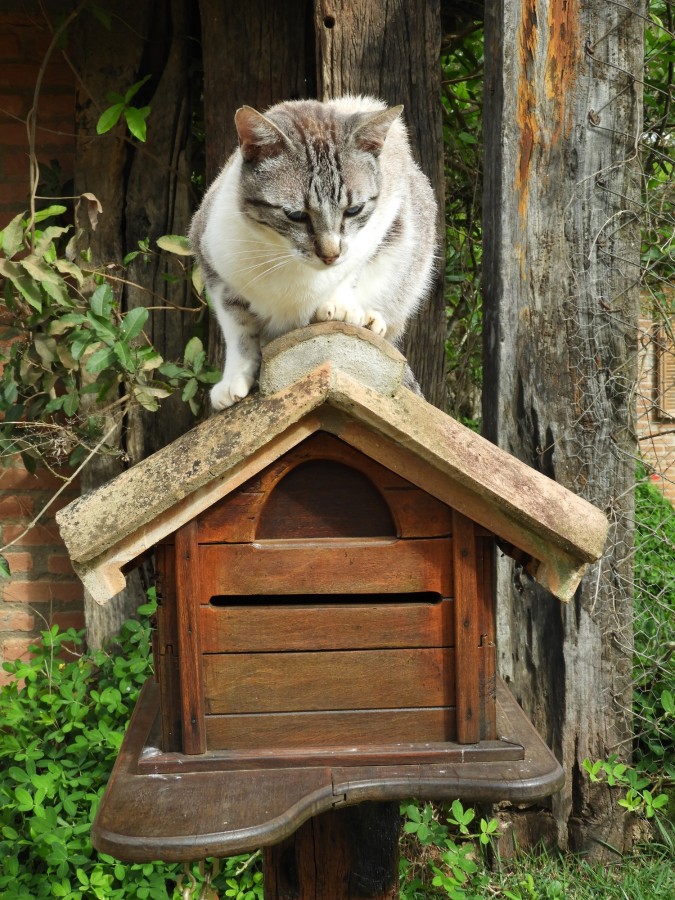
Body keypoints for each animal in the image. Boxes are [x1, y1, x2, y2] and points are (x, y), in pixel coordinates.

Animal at [187, 93, 438, 410]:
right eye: (295, 215)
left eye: (353, 210)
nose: (330, 254)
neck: (286, 261)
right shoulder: (212, 262)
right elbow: (238, 329)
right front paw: (235, 378)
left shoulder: (387, 211)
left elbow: (354, 269)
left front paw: (341, 305)